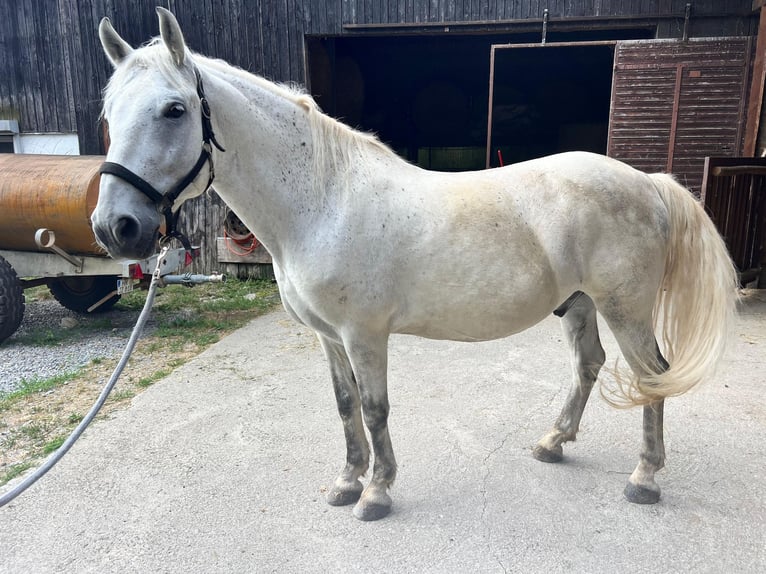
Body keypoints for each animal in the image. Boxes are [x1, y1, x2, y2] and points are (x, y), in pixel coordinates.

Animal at [93, 9, 740, 520]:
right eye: (108, 114)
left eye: (174, 109)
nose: (114, 227)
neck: (324, 199)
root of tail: (649, 183)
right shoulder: (329, 337)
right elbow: (346, 405)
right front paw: (346, 482)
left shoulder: (364, 334)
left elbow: (375, 408)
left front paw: (376, 494)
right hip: (578, 304)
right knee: (589, 365)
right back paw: (553, 443)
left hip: (625, 308)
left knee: (651, 374)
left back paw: (644, 479)